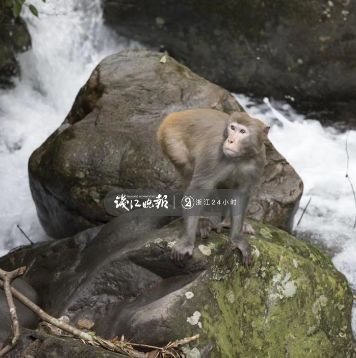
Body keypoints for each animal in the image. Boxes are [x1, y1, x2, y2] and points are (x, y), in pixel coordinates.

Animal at [157, 109, 268, 266]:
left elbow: (240, 194)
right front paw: (187, 242)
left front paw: (237, 238)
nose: (230, 141)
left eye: (242, 131)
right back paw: (204, 221)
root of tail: (175, 115)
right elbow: (197, 192)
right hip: (171, 141)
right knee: (189, 170)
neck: (240, 158)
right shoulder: (213, 155)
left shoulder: (258, 160)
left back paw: (227, 221)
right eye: (232, 128)